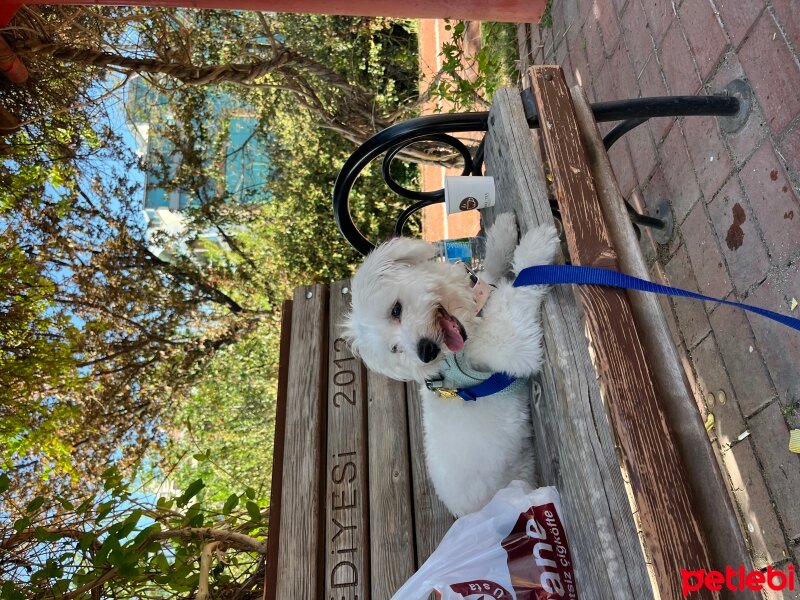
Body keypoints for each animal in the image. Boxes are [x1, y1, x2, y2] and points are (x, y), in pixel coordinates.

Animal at [344, 212, 564, 516]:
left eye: (395, 310)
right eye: (396, 350)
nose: (426, 351)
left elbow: (492, 268)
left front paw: (503, 232)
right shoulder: (510, 344)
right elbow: (516, 290)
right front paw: (535, 249)